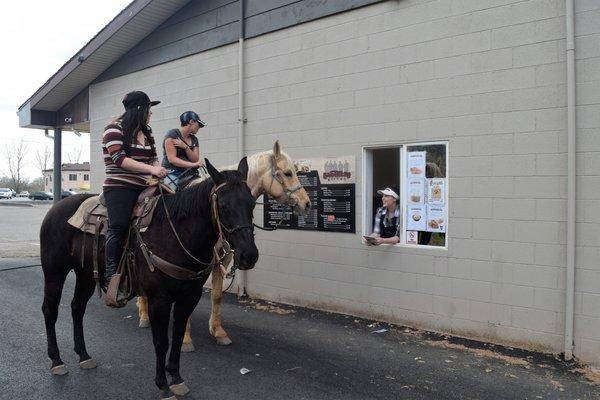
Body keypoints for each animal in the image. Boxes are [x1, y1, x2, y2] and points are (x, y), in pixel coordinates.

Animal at [39, 158, 258, 398]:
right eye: (224, 206)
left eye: (252, 204)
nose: (249, 256)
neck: (175, 235)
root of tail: (57, 207)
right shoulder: (159, 300)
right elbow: (161, 341)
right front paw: (163, 386)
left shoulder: (189, 297)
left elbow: (178, 336)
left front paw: (176, 379)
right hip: (54, 271)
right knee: (50, 310)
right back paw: (57, 361)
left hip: (85, 274)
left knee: (77, 308)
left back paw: (84, 356)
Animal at [137, 141, 312, 350]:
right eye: (287, 173)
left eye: (252, 204)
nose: (306, 204)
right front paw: (186, 339)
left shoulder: (224, 256)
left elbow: (217, 295)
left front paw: (218, 331)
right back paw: (144, 315)